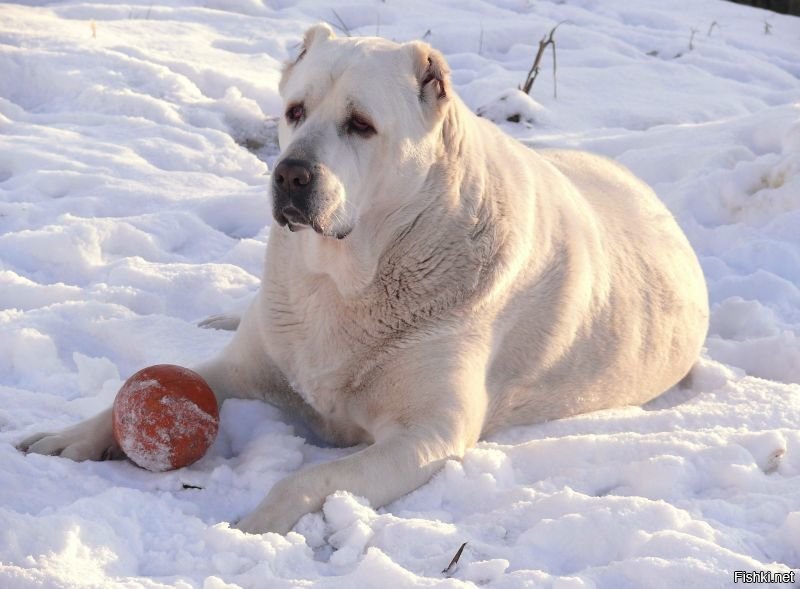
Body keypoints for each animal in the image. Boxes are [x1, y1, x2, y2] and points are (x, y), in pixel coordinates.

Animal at [17, 25, 708, 536]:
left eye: (361, 124)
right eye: (294, 111)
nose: (290, 174)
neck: (348, 280)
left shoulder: (428, 434)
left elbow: (310, 478)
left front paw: (256, 523)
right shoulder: (246, 367)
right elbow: (162, 382)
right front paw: (67, 438)